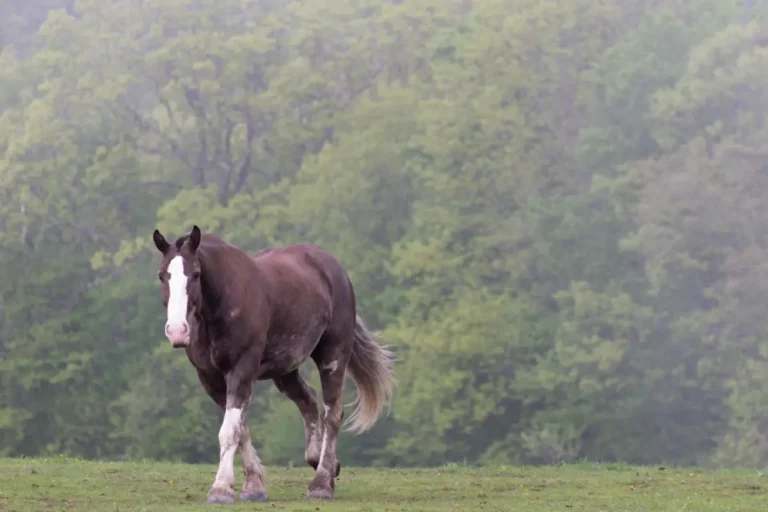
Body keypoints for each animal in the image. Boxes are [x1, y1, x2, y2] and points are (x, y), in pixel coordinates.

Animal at [151, 225, 395, 504]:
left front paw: (221, 489)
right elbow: (241, 429)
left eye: (196, 274)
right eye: (162, 275)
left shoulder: (242, 370)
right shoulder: (210, 378)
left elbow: (229, 430)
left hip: (333, 355)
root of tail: (334, 268)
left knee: (333, 412)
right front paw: (253, 486)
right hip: (285, 368)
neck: (222, 305)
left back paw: (321, 483)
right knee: (308, 400)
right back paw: (323, 463)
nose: (177, 331)